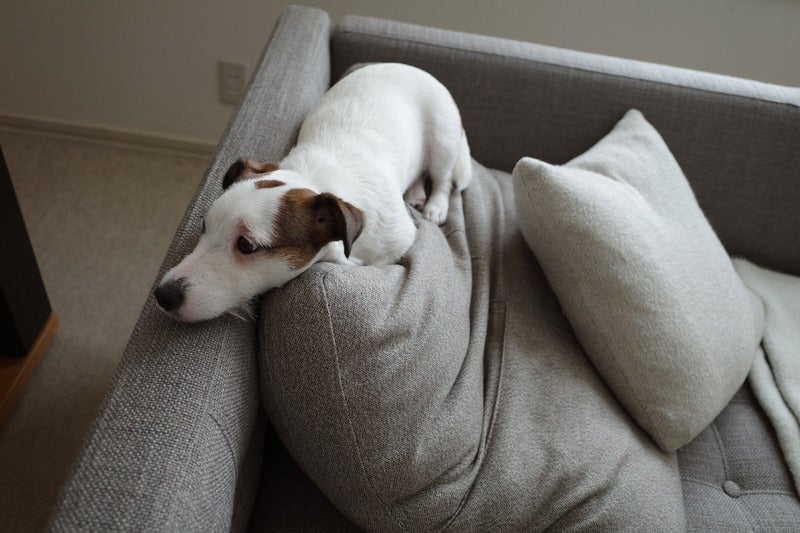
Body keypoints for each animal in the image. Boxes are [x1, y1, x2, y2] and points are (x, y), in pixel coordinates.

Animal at [154, 63, 471, 322]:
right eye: (204, 226)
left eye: (246, 245)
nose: (162, 295)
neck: (315, 179)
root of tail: (414, 67)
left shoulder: (399, 240)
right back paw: (416, 192)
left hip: (443, 143)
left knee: (442, 178)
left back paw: (435, 205)